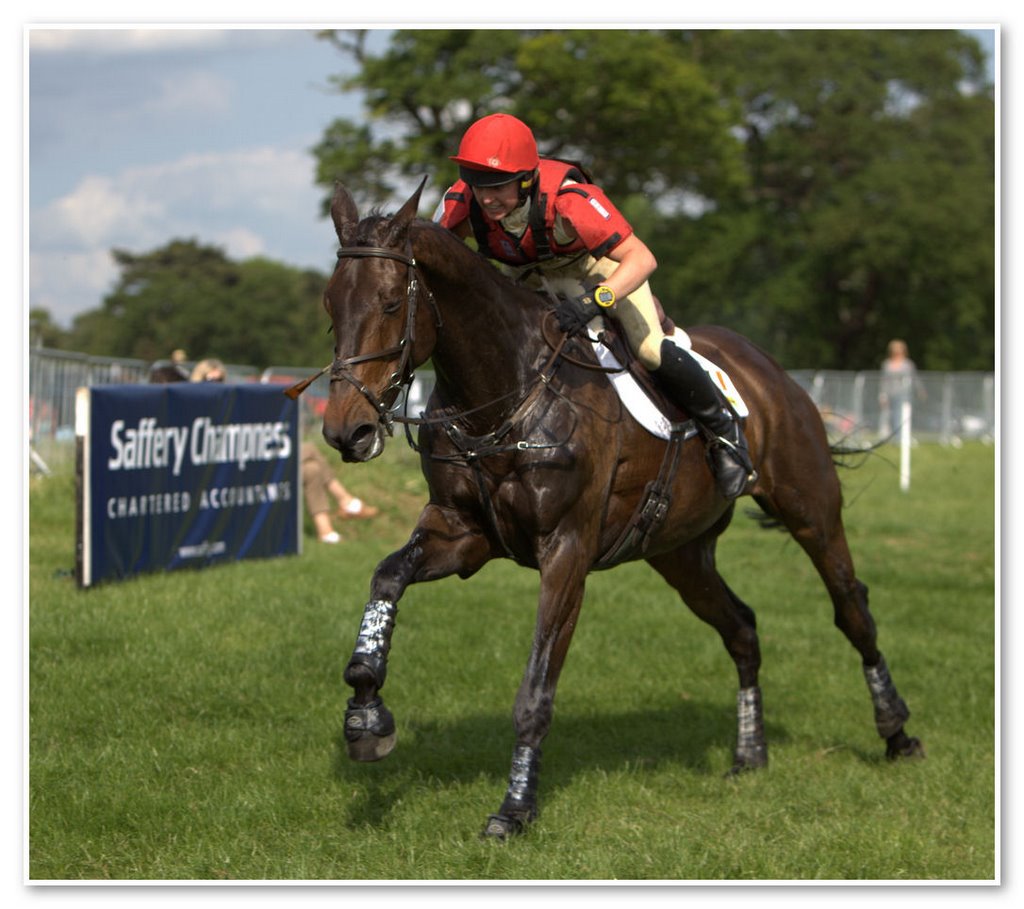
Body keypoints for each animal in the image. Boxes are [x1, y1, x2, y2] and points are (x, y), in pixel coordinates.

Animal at [307, 177, 925, 839]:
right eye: (330, 307)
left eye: (389, 305)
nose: (346, 432)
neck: (507, 392)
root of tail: (767, 368)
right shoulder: (462, 534)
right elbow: (387, 576)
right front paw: (366, 715)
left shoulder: (567, 552)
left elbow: (535, 691)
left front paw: (515, 809)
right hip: (680, 552)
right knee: (742, 628)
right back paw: (749, 752)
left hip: (810, 510)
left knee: (851, 609)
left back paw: (897, 733)